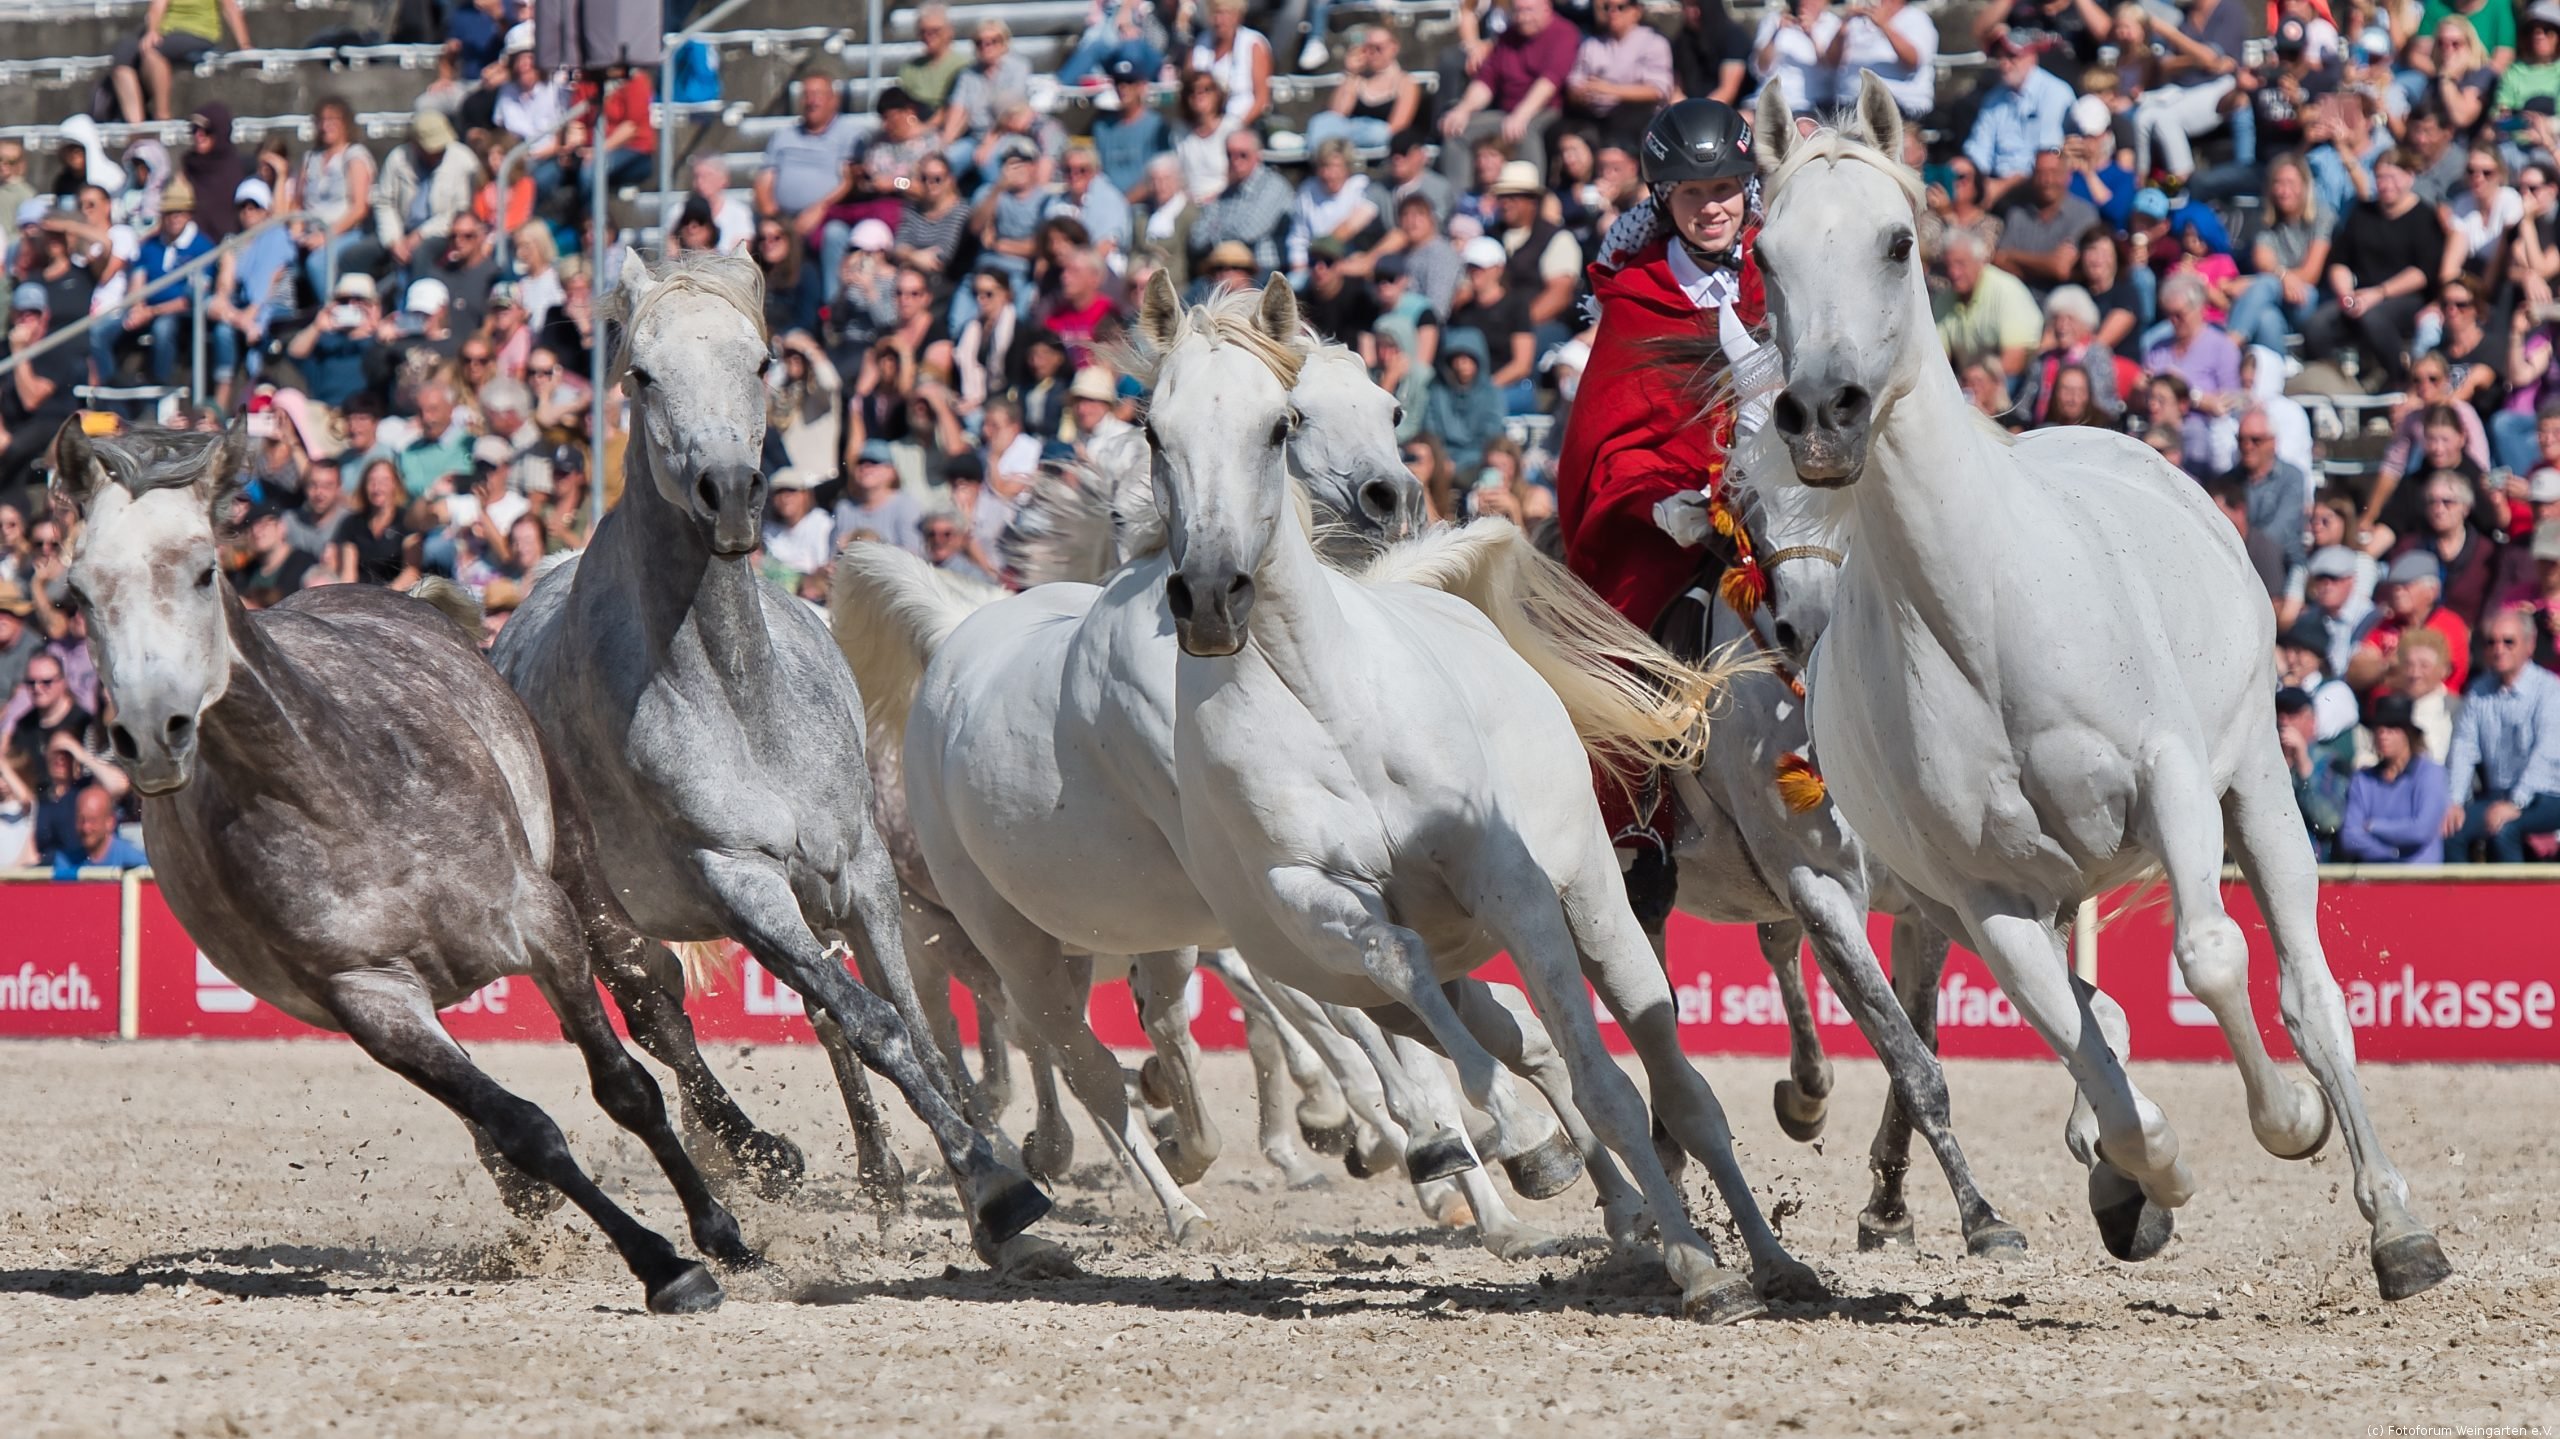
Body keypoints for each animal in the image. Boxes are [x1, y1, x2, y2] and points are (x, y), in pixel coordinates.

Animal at [55, 414, 747, 1310]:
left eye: (204, 570)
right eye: (78, 591)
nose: (149, 733)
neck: (340, 794)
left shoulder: (542, 923)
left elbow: (626, 1085)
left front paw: (713, 1237)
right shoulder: (371, 999)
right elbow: (524, 1127)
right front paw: (659, 1261)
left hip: (574, 858)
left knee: (648, 993)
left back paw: (762, 1153)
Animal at [488, 252, 1049, 1249]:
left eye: (760, 362)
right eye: (642, 374)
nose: (729, 492)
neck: (740, 697)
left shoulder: (858, 867)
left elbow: (900, 1017)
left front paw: (980, 1161)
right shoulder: (736, 878)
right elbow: (873, 1022)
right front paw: (989, 1182)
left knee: (806, 1009)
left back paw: (876, 1173)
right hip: (606, 916)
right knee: (661, 1016)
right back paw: (762, 1151)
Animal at [1751, 70, 2447, 1300]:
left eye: (1896, 242)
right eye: (1766, 254)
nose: (1824, 413)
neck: (1985, 613)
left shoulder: (2169, 782)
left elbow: (2212, 957)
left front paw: (2289, 1120)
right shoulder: (1980, 895)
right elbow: (2082, 1043)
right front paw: (2142, 1176)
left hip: (2255, 785)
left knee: (2306, 991)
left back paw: (2397, 1225)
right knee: (2093, 1015)